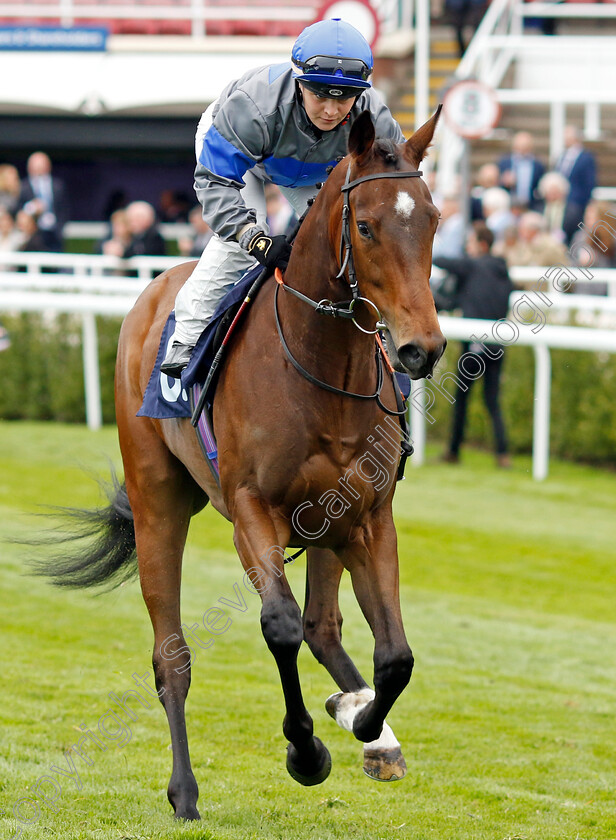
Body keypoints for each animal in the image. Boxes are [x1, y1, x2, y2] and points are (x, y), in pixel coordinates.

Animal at [38, 108, 446, 816]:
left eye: (432, 219)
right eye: (366, 226)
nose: (422, 348)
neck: (320, 367)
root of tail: (155, 286)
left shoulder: (368, 516)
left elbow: (395, 654)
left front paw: (365, 722)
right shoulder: (254, 508)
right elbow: (278, 626)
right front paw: (307, 751)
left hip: (330, 526)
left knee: (324, 625)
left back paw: (368, 724)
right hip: (158, 502)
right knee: (171, 655)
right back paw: (184, 791)